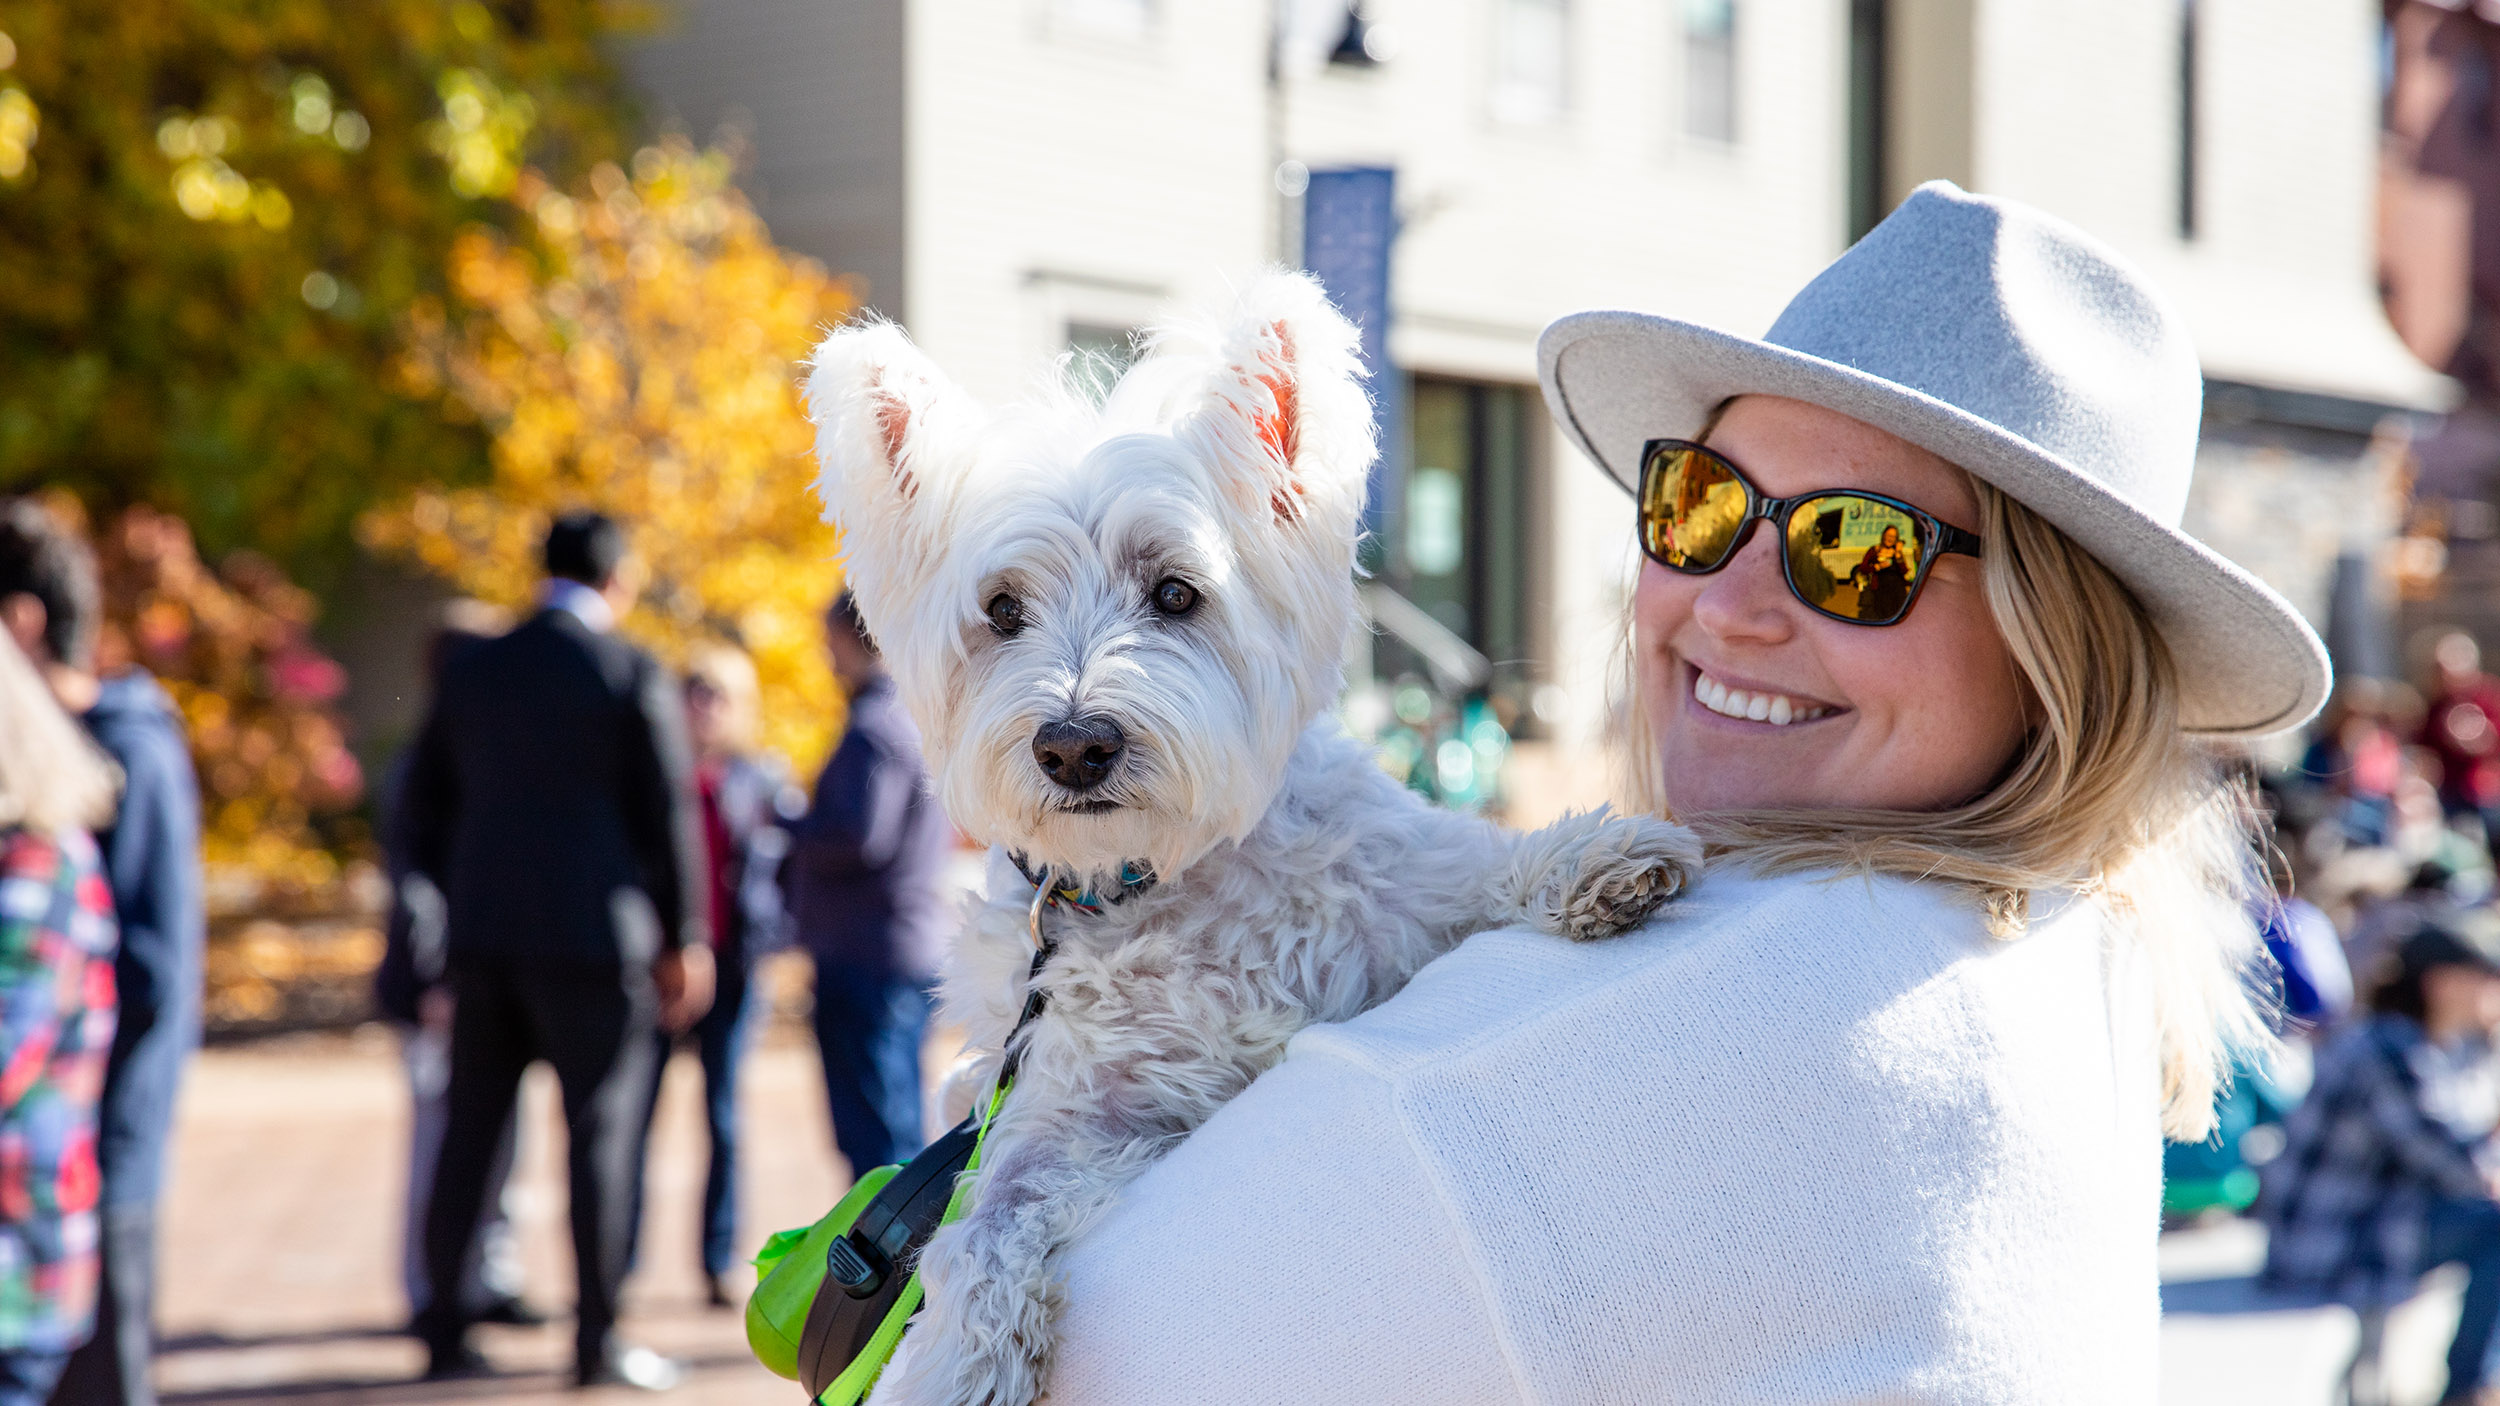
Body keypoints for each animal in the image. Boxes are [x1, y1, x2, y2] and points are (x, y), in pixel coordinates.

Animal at [805, 271, 1700, 1400]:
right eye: (1002, 611)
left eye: (1175, 593)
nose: (1073, 747)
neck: (1159, 875)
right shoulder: (1077, 1105)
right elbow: (986, 1216)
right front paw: (960, 1359)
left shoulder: (1395, 902)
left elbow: (1471, 867)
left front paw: (1595, 860)